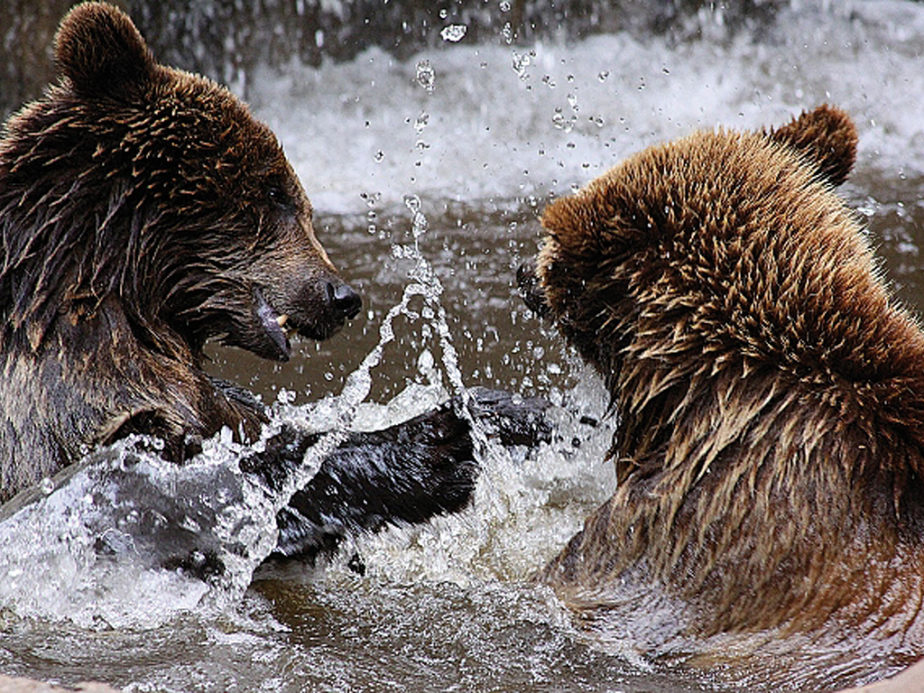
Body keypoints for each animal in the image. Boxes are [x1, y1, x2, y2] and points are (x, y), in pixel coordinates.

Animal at [0, 2, 540, 572]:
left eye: (296, 197)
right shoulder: (81, 402)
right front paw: (438, 442)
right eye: (276, 192)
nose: (342, 297)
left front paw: (509, 411)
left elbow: (250, 421)